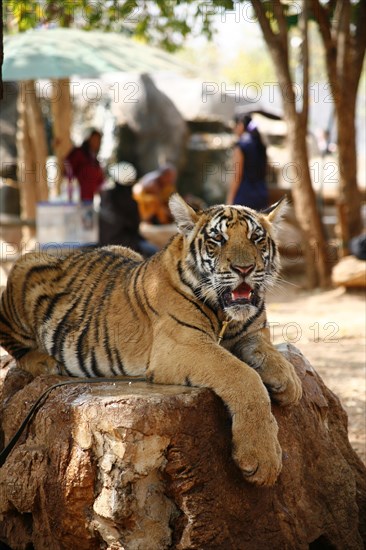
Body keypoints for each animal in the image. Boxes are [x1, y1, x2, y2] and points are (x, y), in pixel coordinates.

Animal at [0, 194, 302, 488]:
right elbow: (243, 376)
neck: (226, 316)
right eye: (218, 239)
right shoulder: (184, 344)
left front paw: (289, 382)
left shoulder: (251, 333)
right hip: (22, 275)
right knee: (13, 344)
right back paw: (46, 363)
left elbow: (267, 351)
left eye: (257, 238)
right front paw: (262, 458)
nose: (244, 268)